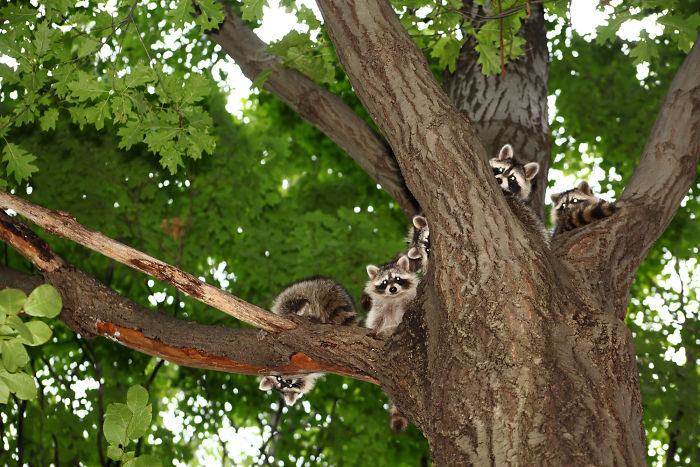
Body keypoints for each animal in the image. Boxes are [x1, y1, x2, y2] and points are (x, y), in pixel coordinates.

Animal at [259, 277, 359, 405]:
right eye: (279, 380)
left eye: (289, 385)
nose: (288, 381)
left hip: (294, 292)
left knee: (289, 306)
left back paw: (301, 310)